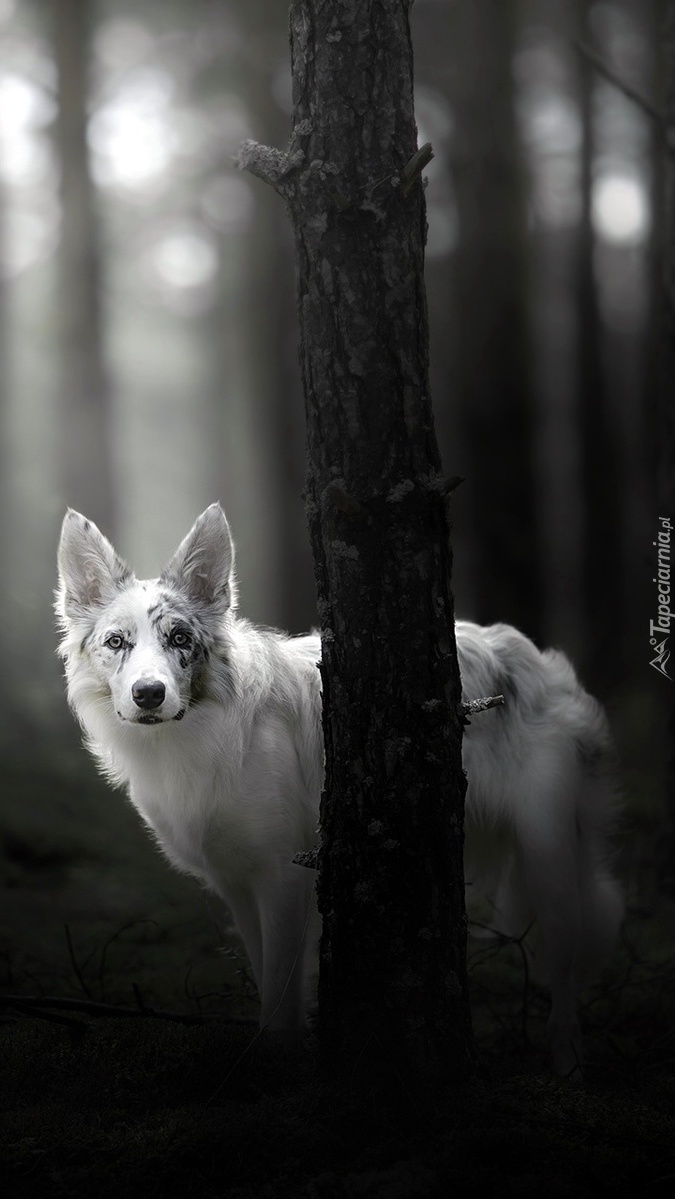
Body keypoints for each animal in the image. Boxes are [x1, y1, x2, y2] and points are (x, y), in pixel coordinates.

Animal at [55, 501, 628, 1074]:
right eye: (116, 642)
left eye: (179, 640)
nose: (149, 694)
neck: (195, 737)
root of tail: (537, 657)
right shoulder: (237, 884)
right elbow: (266, 978)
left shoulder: (284, 878)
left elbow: (280, 996)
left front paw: (279, 1057)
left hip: (550, 862)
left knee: (564, 979)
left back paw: (568, 1063)